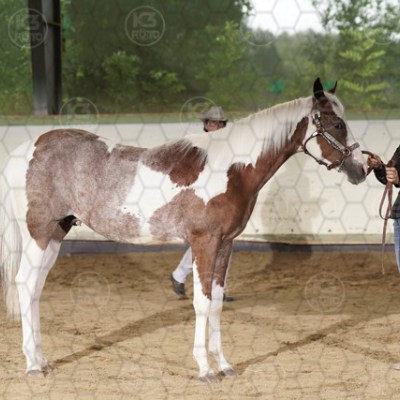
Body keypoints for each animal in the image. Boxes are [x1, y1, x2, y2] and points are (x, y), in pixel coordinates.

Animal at [0, 78, 367, 382]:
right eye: (337, 124)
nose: (361, 169)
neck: (232, 169)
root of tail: (26, 149)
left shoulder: (226, 245)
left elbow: (216, 303)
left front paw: (224, 365)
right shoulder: (204, 242)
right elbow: (201, 303)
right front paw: (205, 369)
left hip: (56, 234)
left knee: (34, 290)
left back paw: (42, 360)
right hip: (39, 234)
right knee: (24, 284)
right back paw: (32, 365)